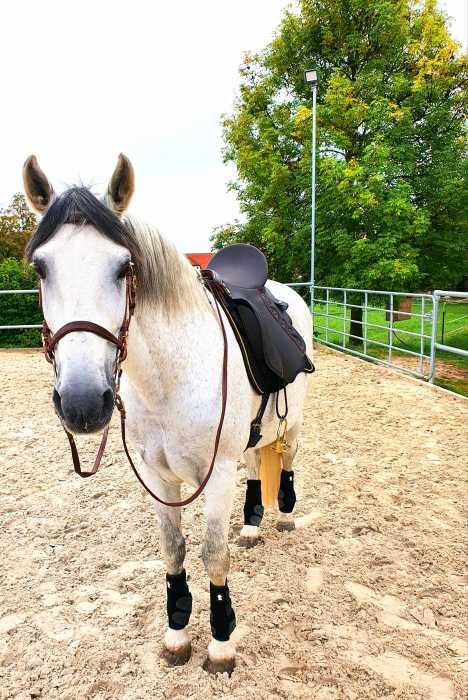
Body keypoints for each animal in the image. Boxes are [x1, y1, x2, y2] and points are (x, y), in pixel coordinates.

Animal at [23, 153, 312, 672]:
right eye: (41, 268)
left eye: (124, 267)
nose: (82, 402)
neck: (171, 378)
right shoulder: (158, 476)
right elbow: (172, 550)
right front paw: (177, 631)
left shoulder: (216, 474)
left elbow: (213, 553)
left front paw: (221, 642)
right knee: (256, 463)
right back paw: (253, 526)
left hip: (292, 423)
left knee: (288, 460)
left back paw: (282, 517)